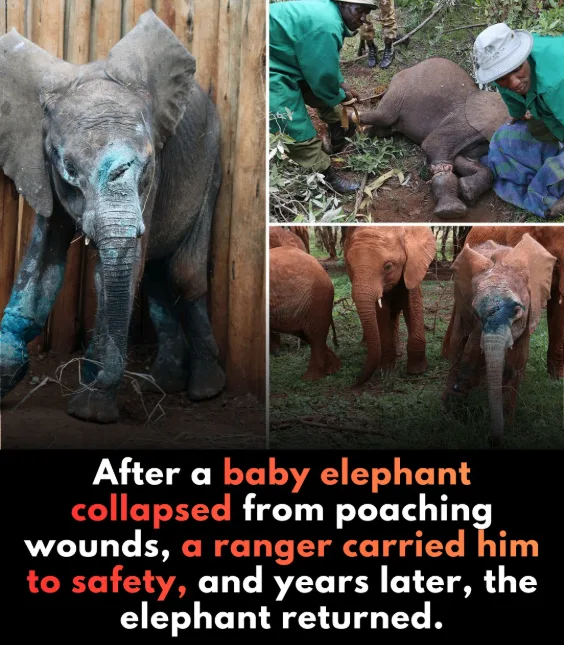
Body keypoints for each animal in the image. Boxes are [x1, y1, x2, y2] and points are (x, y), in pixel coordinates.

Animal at [0, 11, 225, 423]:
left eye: (147, 164)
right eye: (69, 168)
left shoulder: (154, 179)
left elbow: (113, 275)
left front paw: (91, 409)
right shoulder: (41, 169)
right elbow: (43, 263)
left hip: (212, 163)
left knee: (182, 274)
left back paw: (205, 389)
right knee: (154, 275)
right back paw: (162, 383)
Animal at [343, 226, 436, 385]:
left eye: (388, 267)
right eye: (349, 265)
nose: (355, 381)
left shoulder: (413, 267)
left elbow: (414, 306)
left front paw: (417, 371)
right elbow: (381, 312)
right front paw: (385, 372)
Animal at [358, 57, 510, 220]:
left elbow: (461, 160)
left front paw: (467, 192)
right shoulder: (462, 122)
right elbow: (434, 144)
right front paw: (451, 211)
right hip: (399, 89)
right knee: (385, 115)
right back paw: (354, 117)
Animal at [442, 234, 556, 446]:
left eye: (517, 311)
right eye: (477, 313)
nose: (492, 440)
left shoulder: (531, 311)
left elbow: (517, 363)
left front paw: (509, 427)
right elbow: (471, 350)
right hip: (459, 300)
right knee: (458, 342)